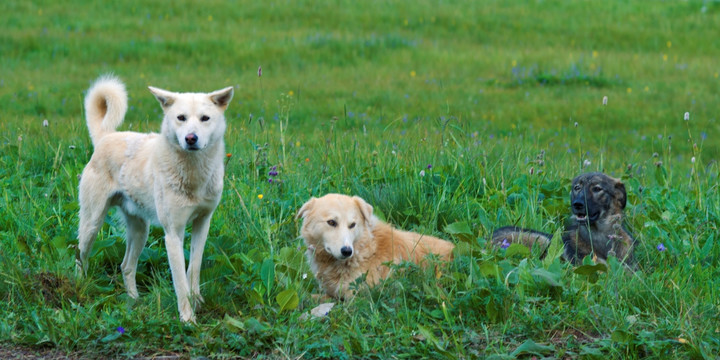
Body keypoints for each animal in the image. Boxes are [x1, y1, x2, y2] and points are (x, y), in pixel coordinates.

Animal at [75, 74, 233, 322]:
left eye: (205, 118)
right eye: (181, 118)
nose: (191, 138)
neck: (193, 173)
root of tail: (106, 137)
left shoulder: (202, 224)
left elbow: (193, 269)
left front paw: (197, 302)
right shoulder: (173, 234)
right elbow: (180, 281)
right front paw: (188, 319)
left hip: (141, 230)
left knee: (126, 266)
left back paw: (134, 301)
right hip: (92, 223)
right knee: (80, 257)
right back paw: (78, 287)